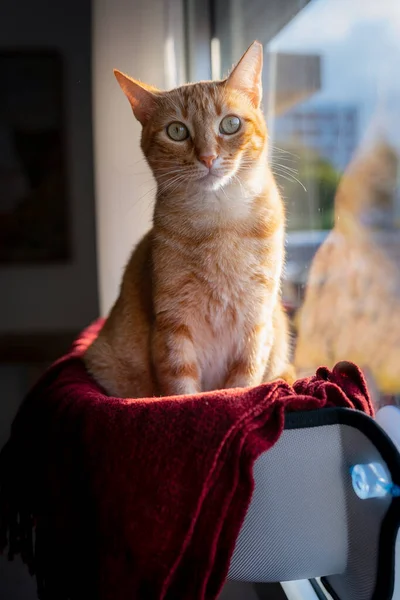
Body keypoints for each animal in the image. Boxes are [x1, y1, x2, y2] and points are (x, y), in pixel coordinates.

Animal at [84, 42, 292, 398]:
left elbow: (244, 380)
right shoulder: (173, 323)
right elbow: (182, 386)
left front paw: (232, 398)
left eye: (230, 124)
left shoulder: (257, 319)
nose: (208, 157)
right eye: (177, 131)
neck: (220, 223)